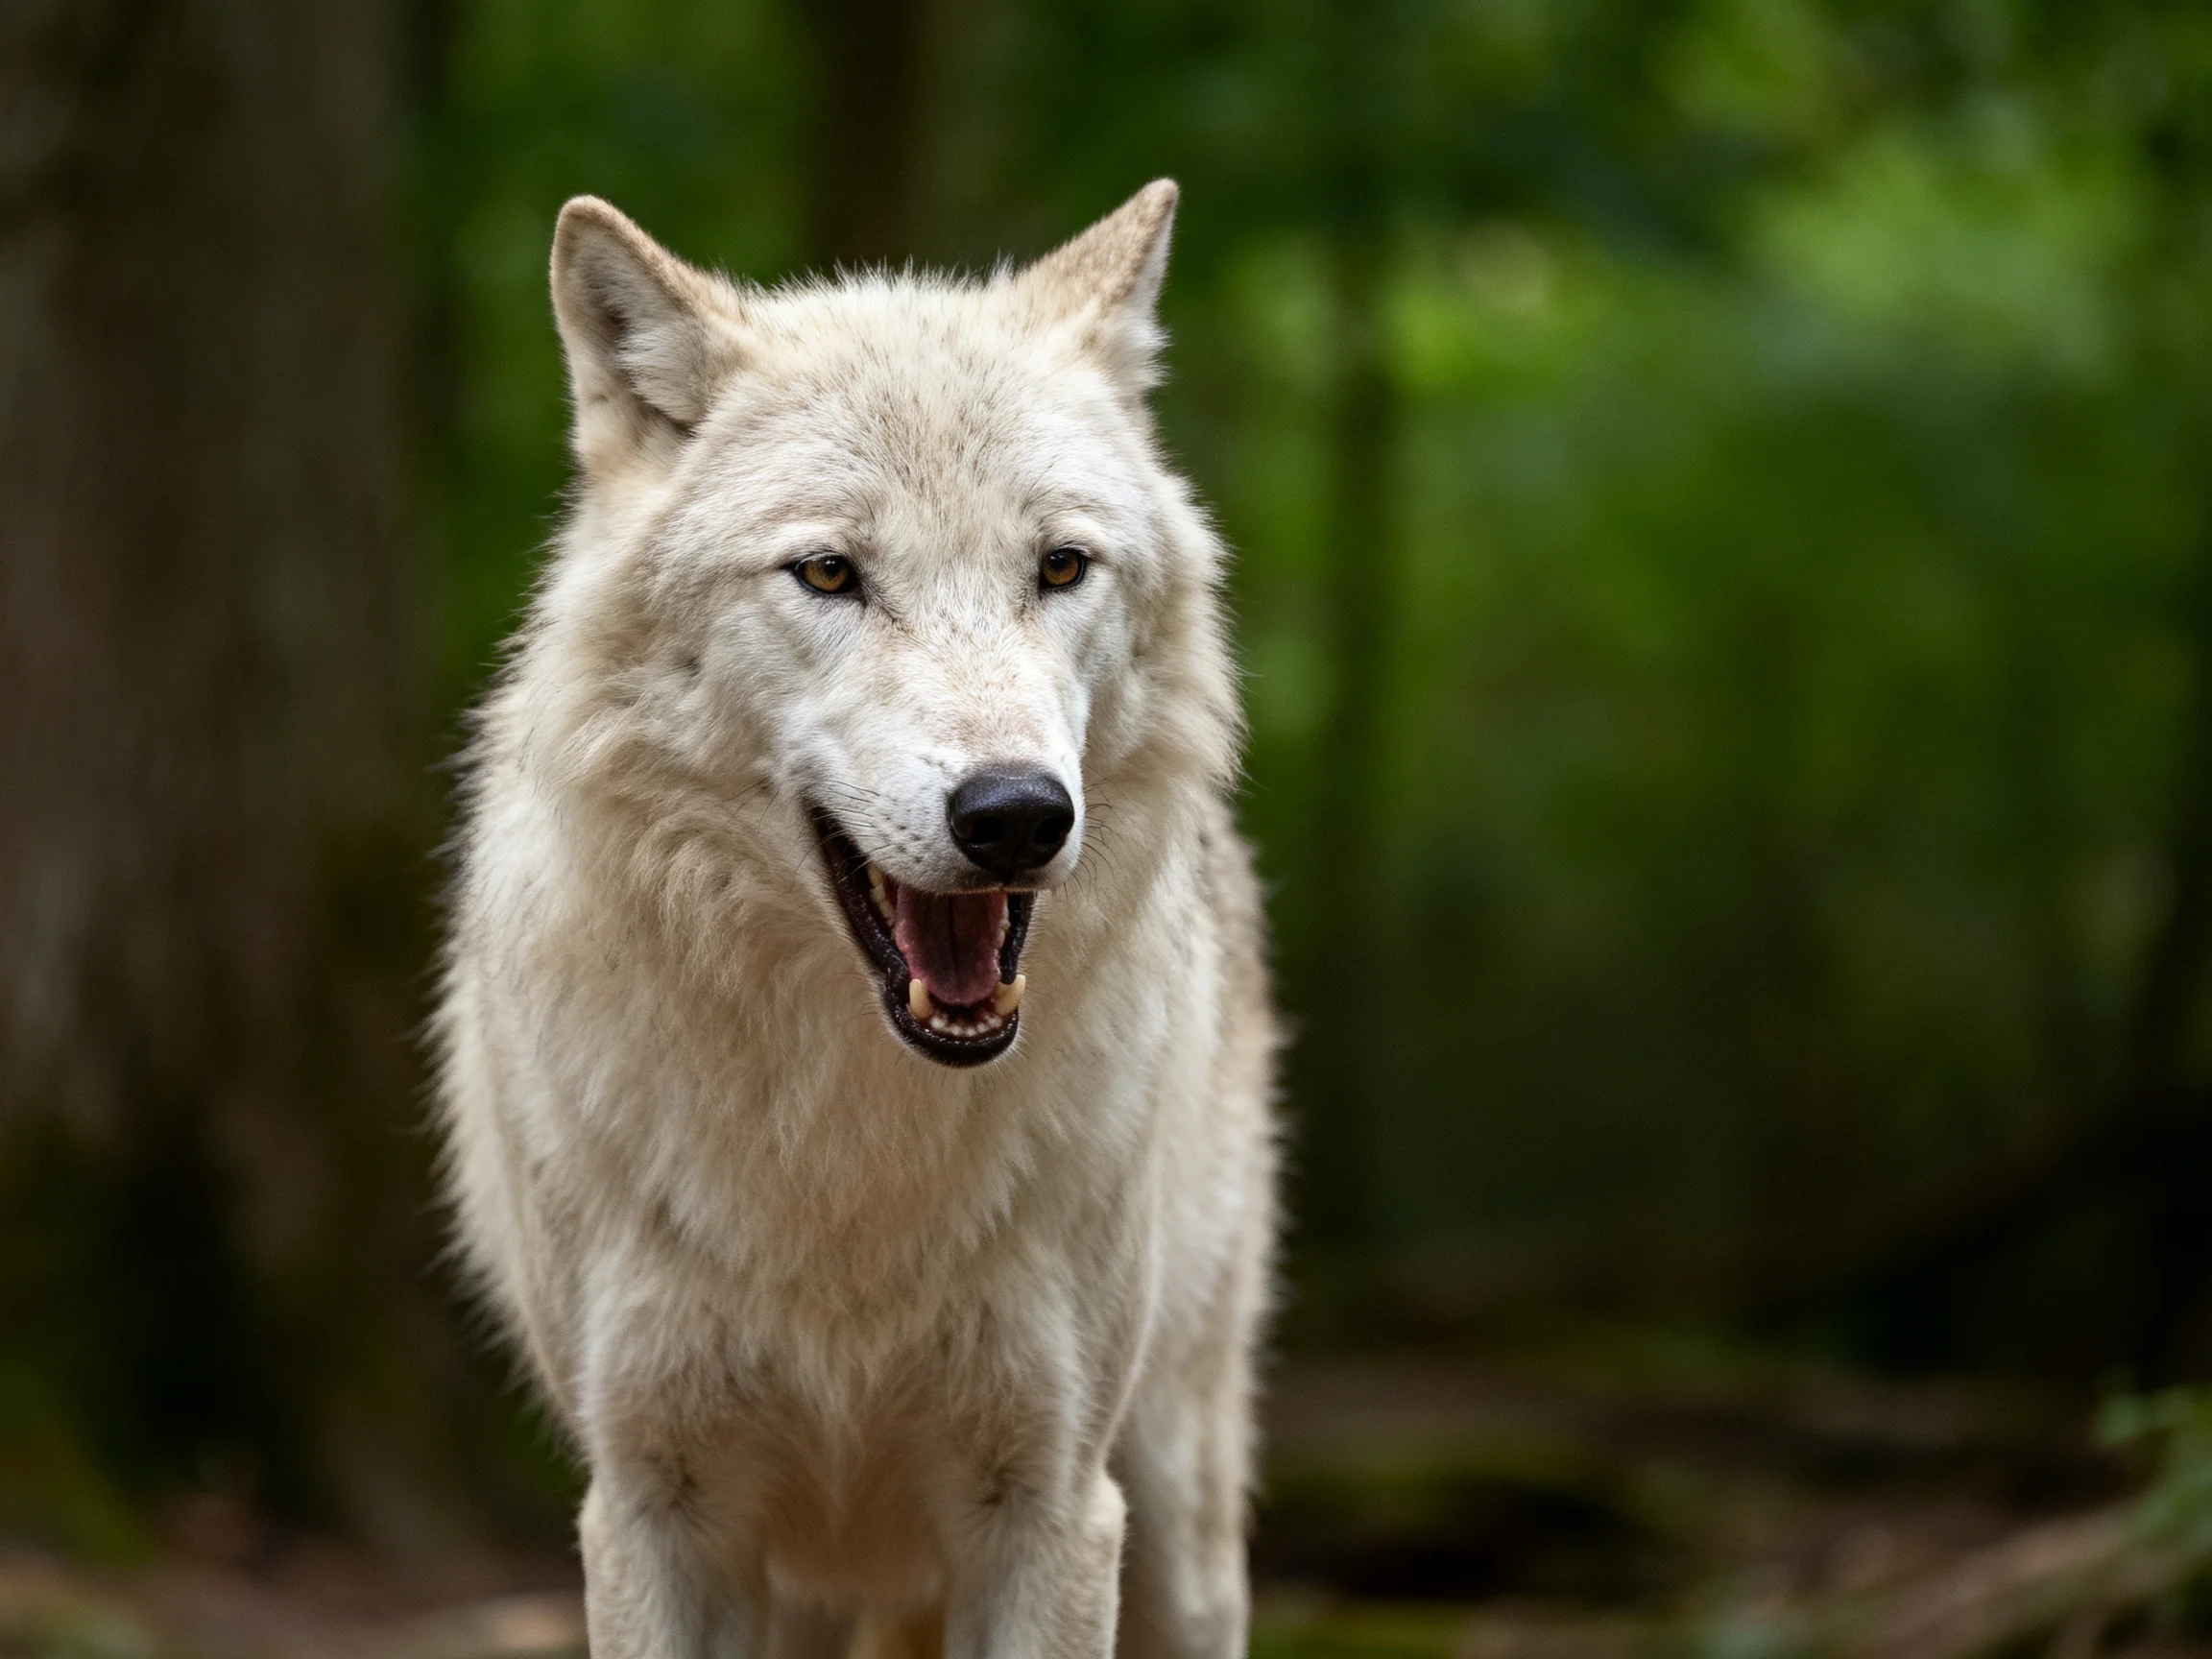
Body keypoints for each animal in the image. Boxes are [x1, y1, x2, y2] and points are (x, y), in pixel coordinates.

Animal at [434, 181, 1278, 1659]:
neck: (846, 1162)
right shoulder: (651, 1509)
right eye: (829, 574)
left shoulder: (1055, 1507)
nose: (1017, 813)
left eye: (1060, 566)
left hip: (1178, 1515)